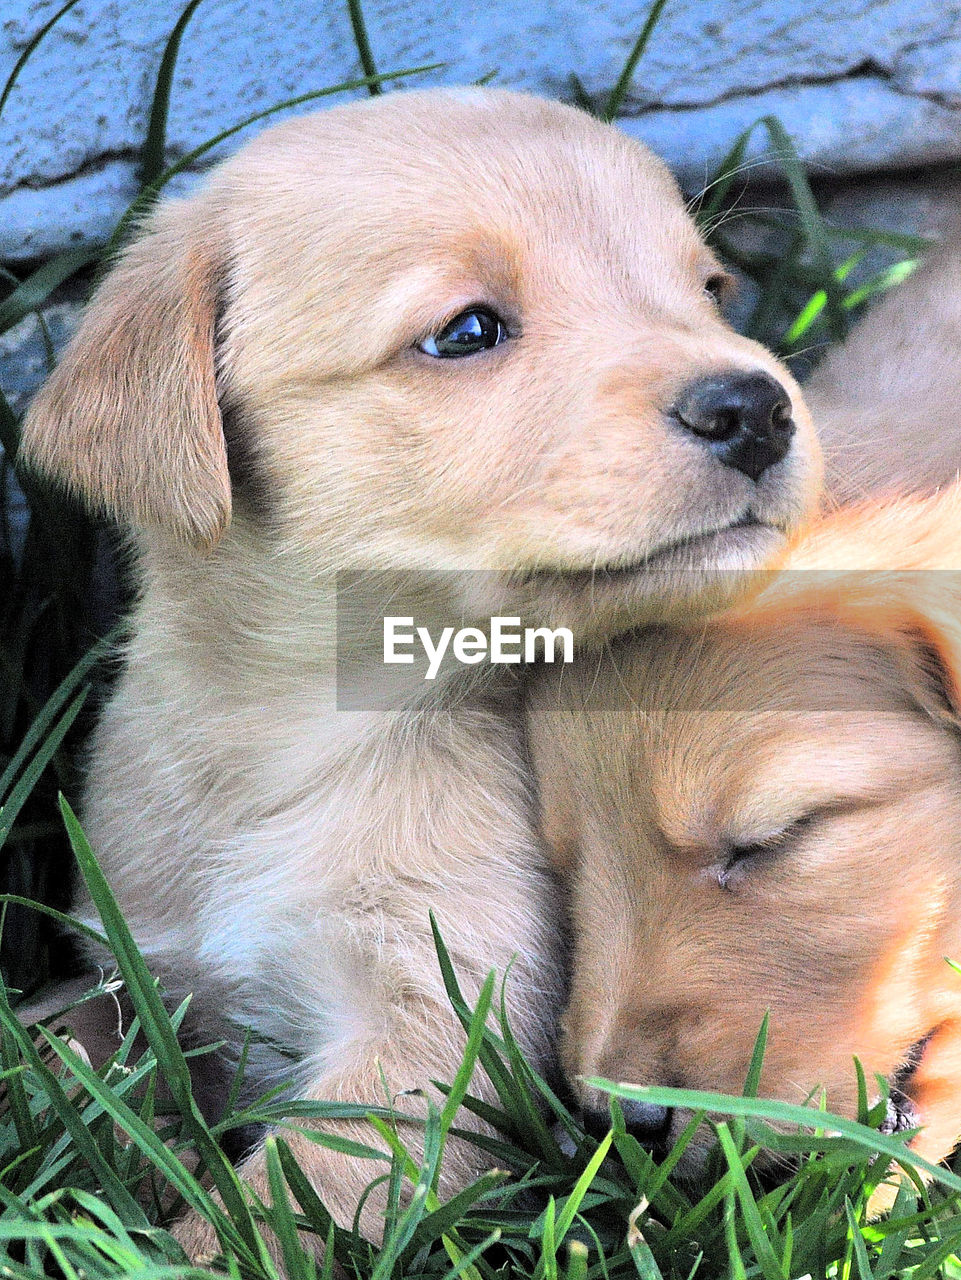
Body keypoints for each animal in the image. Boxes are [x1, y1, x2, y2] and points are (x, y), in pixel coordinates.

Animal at [16, 85, 818, 1254]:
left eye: (709, 292)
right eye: (468, 331)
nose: (756, 408)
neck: (301, 735)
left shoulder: (439, 1034)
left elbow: (272, 1212)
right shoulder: (137, 971)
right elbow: (50, 1040)